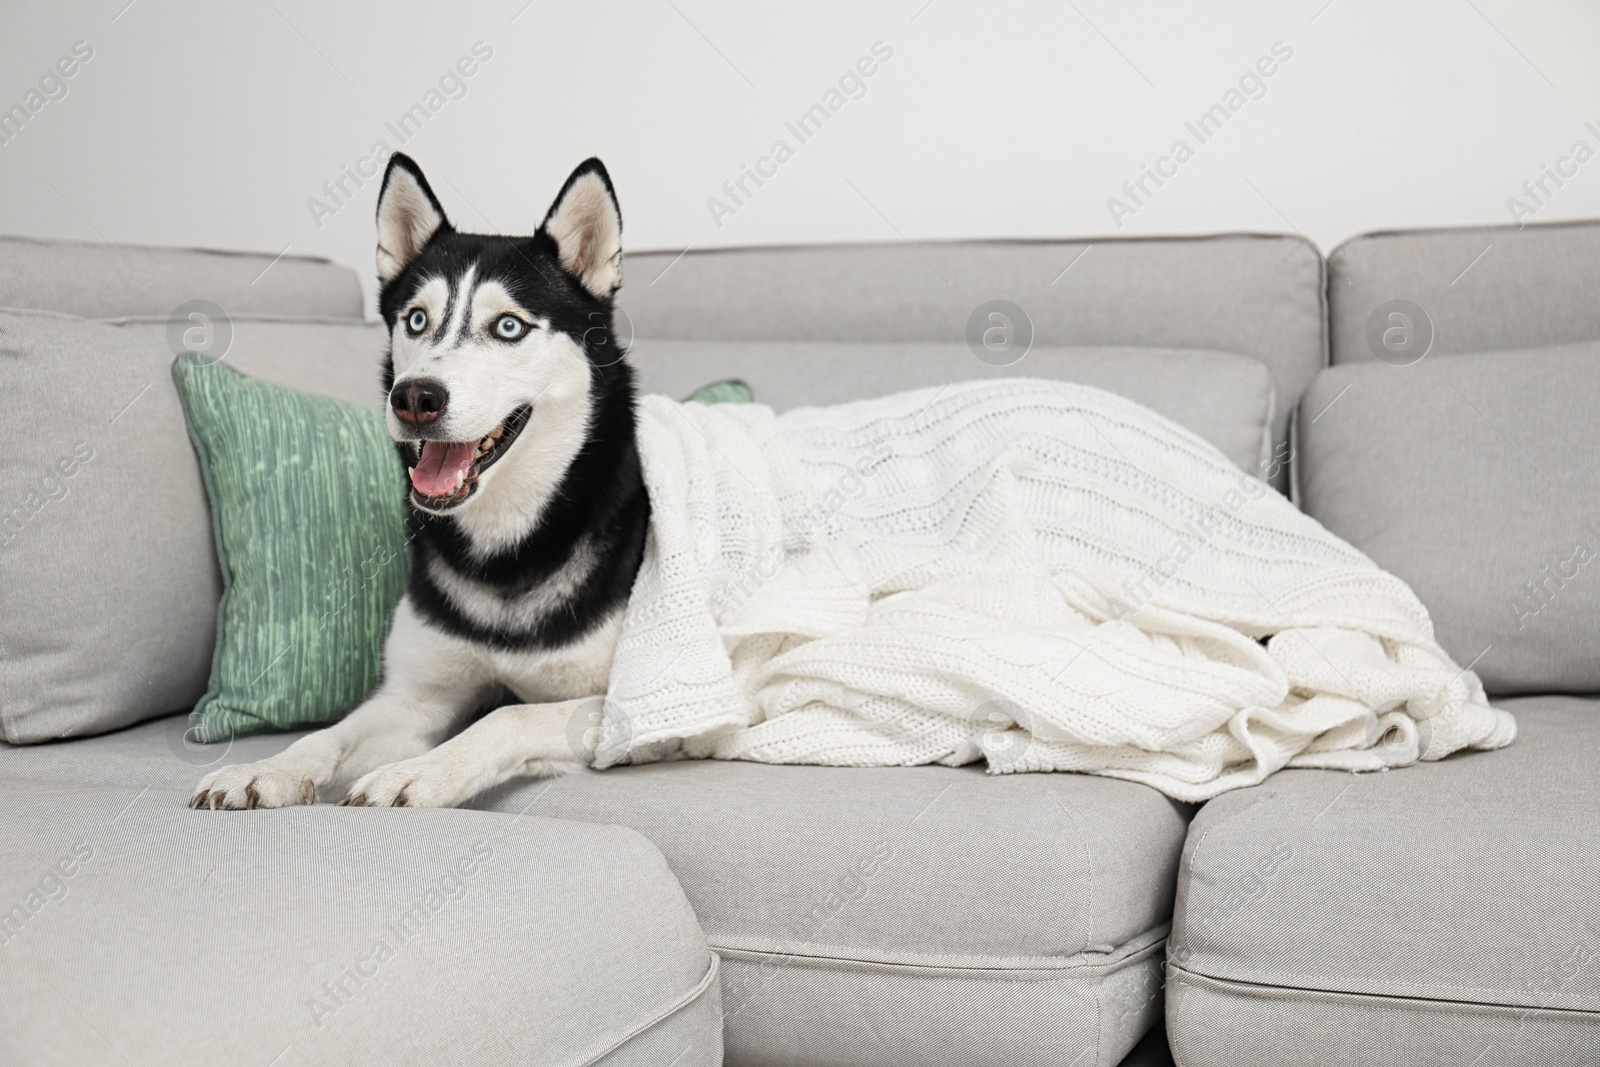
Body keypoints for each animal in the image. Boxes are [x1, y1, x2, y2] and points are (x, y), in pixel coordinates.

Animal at [196, 151, 646, 809]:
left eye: (508, 327)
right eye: (415, 319)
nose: (415, 398)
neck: (504, 550)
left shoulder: (633, 707)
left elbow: (505, 717)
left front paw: (415, 774)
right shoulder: (415, 695)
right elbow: (329, 734)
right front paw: (263, 769)